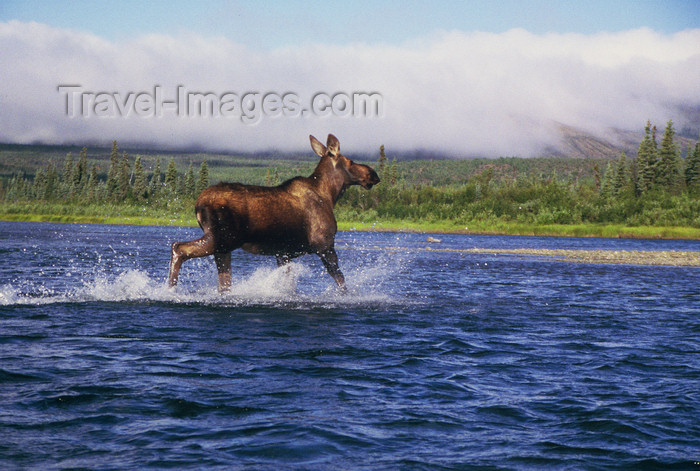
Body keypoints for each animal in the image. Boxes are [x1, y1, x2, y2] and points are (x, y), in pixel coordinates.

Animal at [167, 133, 380, 294]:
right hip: (221, 238)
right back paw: (170, 290)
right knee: (178, 248)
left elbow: (289, 285)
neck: (330, 195)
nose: (374, 174)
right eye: (351, 161)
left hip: (223, 246)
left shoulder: (283, 252)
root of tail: (197, 204)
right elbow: (341, 280)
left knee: (224, 282)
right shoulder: (324, 244)